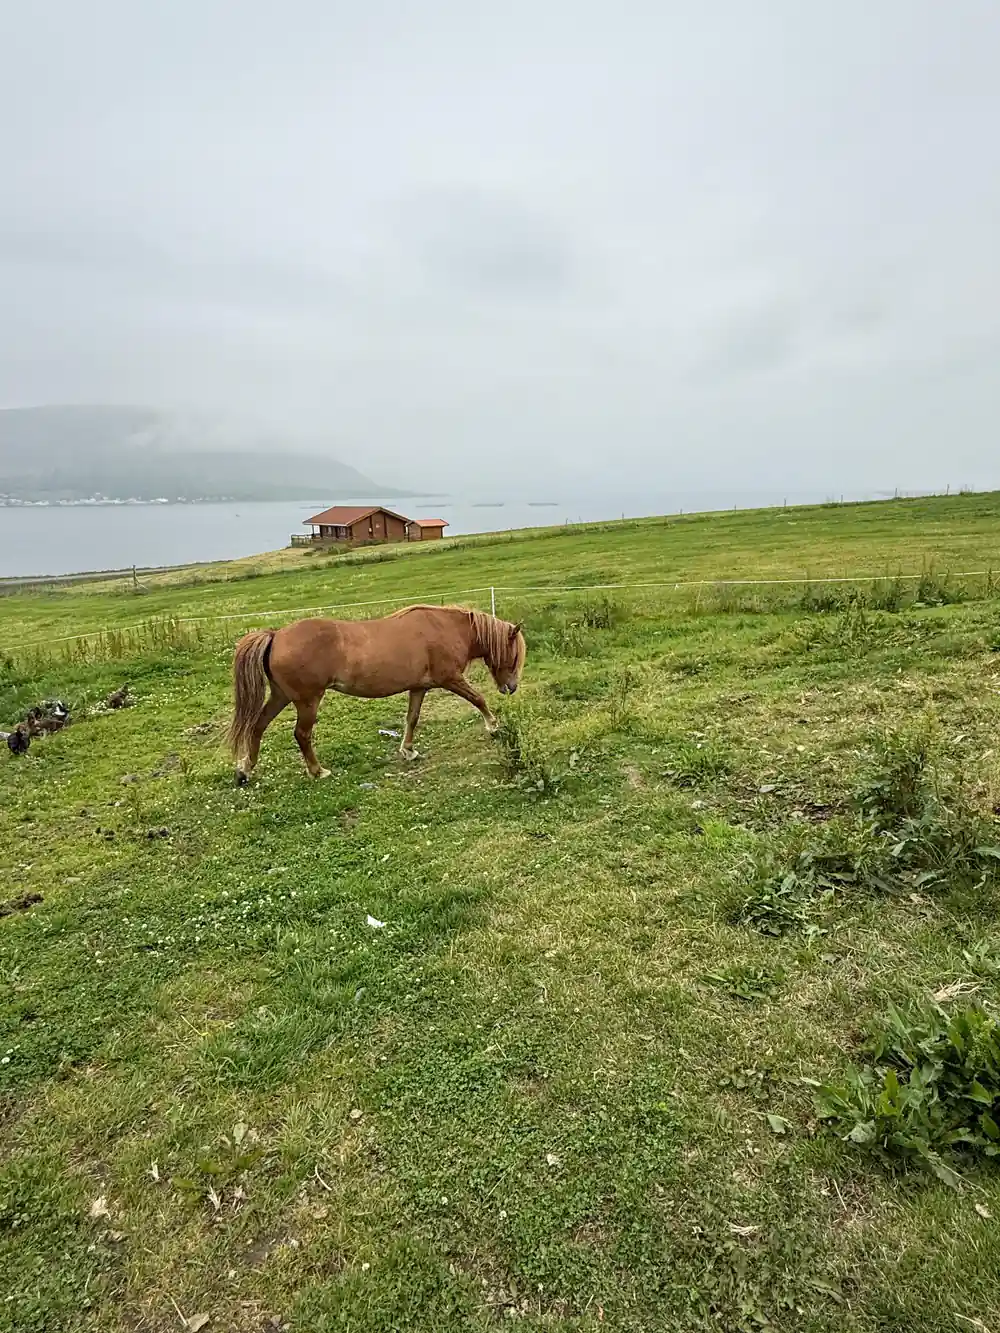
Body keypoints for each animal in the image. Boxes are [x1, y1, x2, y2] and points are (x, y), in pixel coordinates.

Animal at [226, 605, 526, 784]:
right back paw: (318, 771)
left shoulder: (419, 687)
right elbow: (478, 699)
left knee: (258, 726)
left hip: (281, 696)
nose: (510, 688)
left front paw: (408, 751)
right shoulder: (450, 679)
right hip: (307, 700)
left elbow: (412, 719)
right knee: (301, 734)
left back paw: (245, 770)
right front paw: (494, 727)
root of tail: (276, 635)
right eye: (514, 655)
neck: (445, 628)